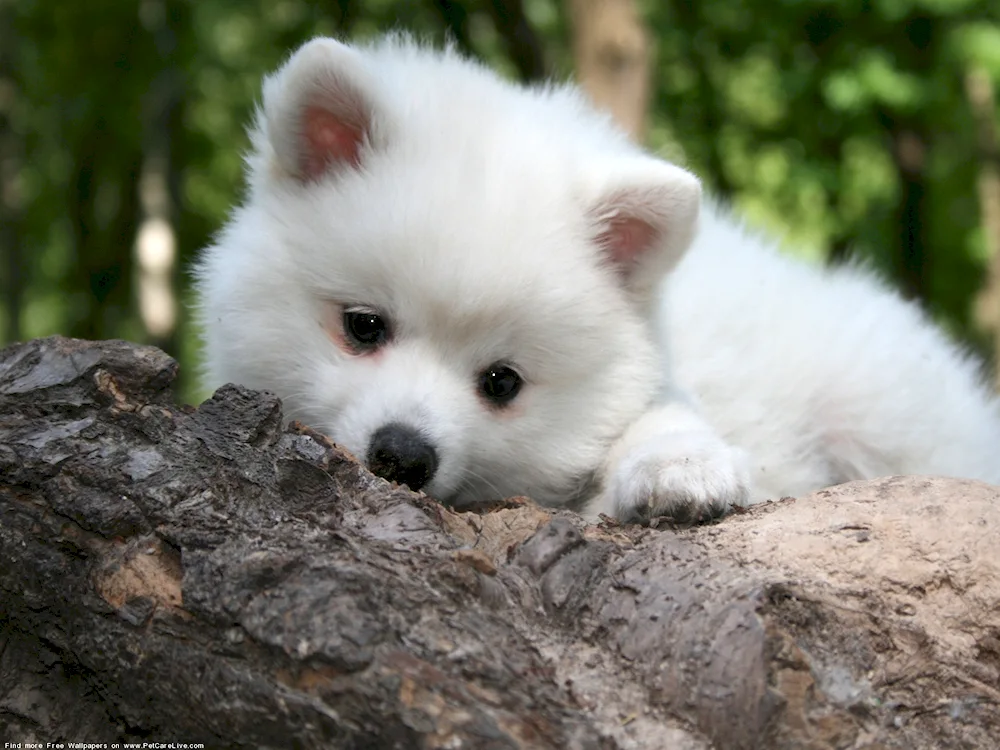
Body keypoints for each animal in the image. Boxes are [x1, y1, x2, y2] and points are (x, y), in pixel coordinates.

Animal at [193, 35, 1000, 524]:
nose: (404, 455)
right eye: (363, 327)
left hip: (880, 403)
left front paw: (682, 471)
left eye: (502, 382)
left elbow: (664, 420)